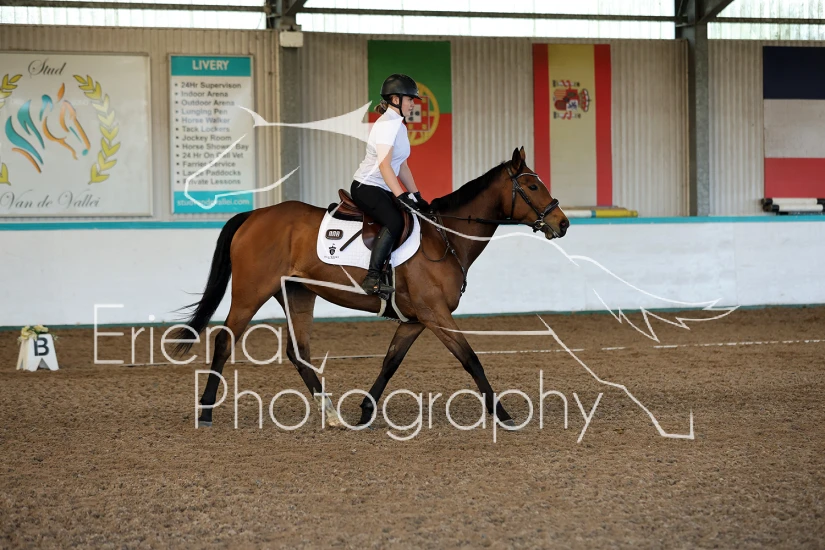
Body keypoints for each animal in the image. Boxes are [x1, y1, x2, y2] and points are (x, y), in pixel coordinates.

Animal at [174, 147, 570, 428]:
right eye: (532, 186)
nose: (562, 223)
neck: (444, 237)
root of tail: (254, 215)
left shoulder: (416, 319)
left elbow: (390, 362)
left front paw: (365, 411)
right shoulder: (435, 313)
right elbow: (471, 359)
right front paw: (503, 414)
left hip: (298, 294)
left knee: (299, 353)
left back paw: (332, 415)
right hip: (250, 292)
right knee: (224, 341)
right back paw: (206, 411)